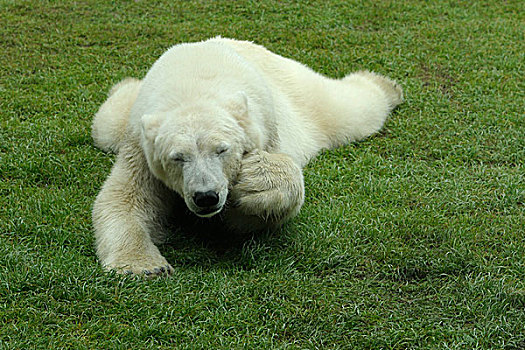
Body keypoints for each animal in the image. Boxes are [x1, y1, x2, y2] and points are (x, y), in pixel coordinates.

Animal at [92, 36, 404, 276]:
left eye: (222, 149)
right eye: (178, 157)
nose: (206, 197)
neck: (192, 86)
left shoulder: (266, 126)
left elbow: (252, 215)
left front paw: (257, 183)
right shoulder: (139, 144)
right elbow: (123, 199)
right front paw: (144, 266)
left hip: (298, 91)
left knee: (349, 110)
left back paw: (386, 86)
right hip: (117, 123)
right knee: (107, 122)